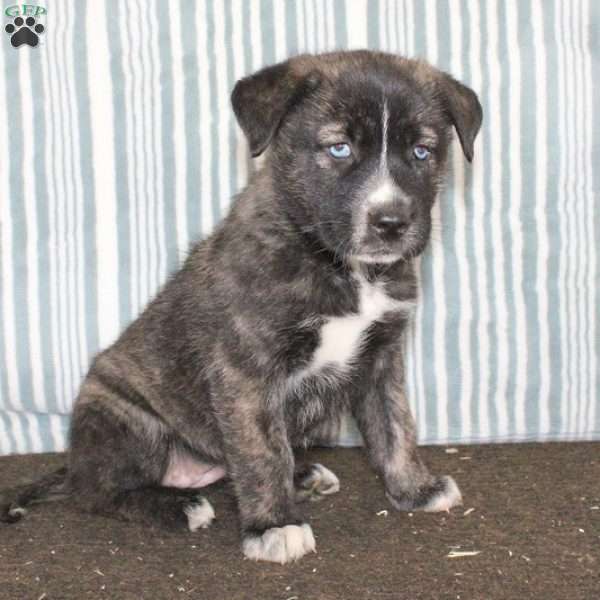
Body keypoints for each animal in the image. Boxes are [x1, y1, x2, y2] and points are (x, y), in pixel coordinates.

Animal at [0, 50, 480, 564]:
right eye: (338, 149)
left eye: (422, 152)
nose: (391, 222)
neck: (340, 265)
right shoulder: (247, 370)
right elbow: (261, 451)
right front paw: (274, 524)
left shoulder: (382, 357)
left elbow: (395, 428)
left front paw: (415, 489)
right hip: (123, 418)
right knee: (97, 492)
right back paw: (179, 505)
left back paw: (303, 476)